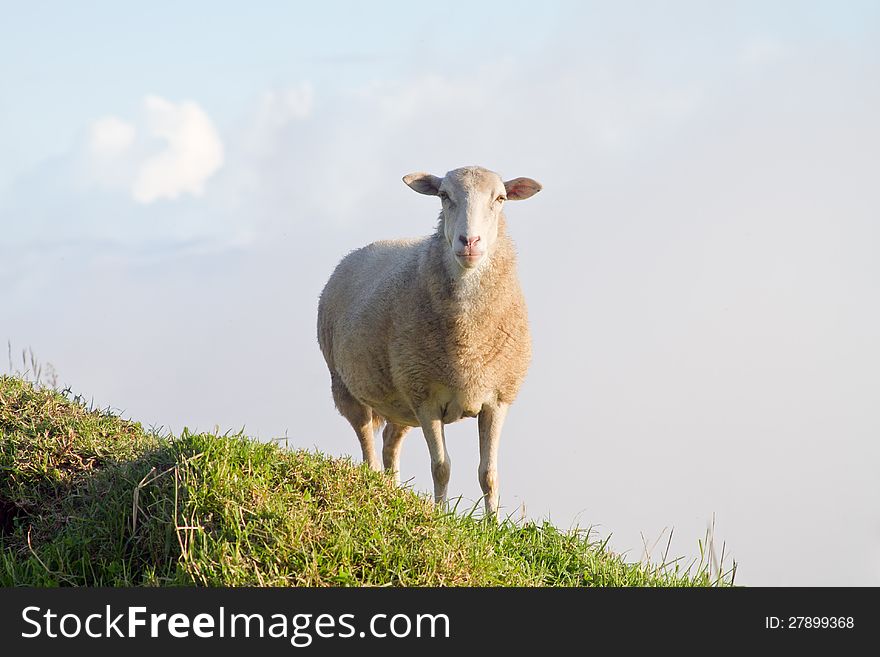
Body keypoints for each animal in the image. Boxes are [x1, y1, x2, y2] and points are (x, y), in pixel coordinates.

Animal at [312, 164, 540, 512]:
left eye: (500, 198)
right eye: (444, 196)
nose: (469, 241)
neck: (467, 346)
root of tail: (355, 253)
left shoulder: (497, 398)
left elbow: (488, 474)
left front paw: (492, 522)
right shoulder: (426, 398)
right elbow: (441, 467)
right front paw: (441, 517)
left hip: (399, 402)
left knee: (390, 445)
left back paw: (391, 491)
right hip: (347, 387)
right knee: (367, 444)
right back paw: (373, 488)